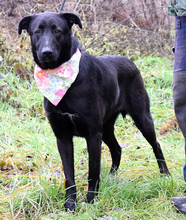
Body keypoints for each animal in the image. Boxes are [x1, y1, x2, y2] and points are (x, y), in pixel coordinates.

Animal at [18, 12, 170, 211]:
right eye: (37, 31)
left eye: (57, 30)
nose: (46, 52)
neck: (61, 77)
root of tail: (130, 62)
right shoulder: (63, 137)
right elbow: (69, 175)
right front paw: (70, 205)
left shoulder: (93, 134)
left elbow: (93, 171)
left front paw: (91, 200)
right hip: (106, 128)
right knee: (117, 149)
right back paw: (112, 177)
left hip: (141, 118)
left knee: (156, 145)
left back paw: (165, 174)